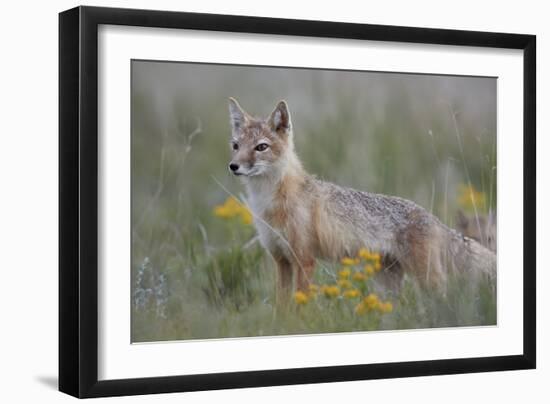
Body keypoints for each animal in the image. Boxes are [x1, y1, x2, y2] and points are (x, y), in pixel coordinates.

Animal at [226, 97, 498, 300]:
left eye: (261, 147)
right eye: (236, 146)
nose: (233, 166)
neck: (268, 202)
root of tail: (433, 218)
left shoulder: (304, 260)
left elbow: (300, 308)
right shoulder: (281, 261)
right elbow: (281, 310)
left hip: (428, 281)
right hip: (387, 285)